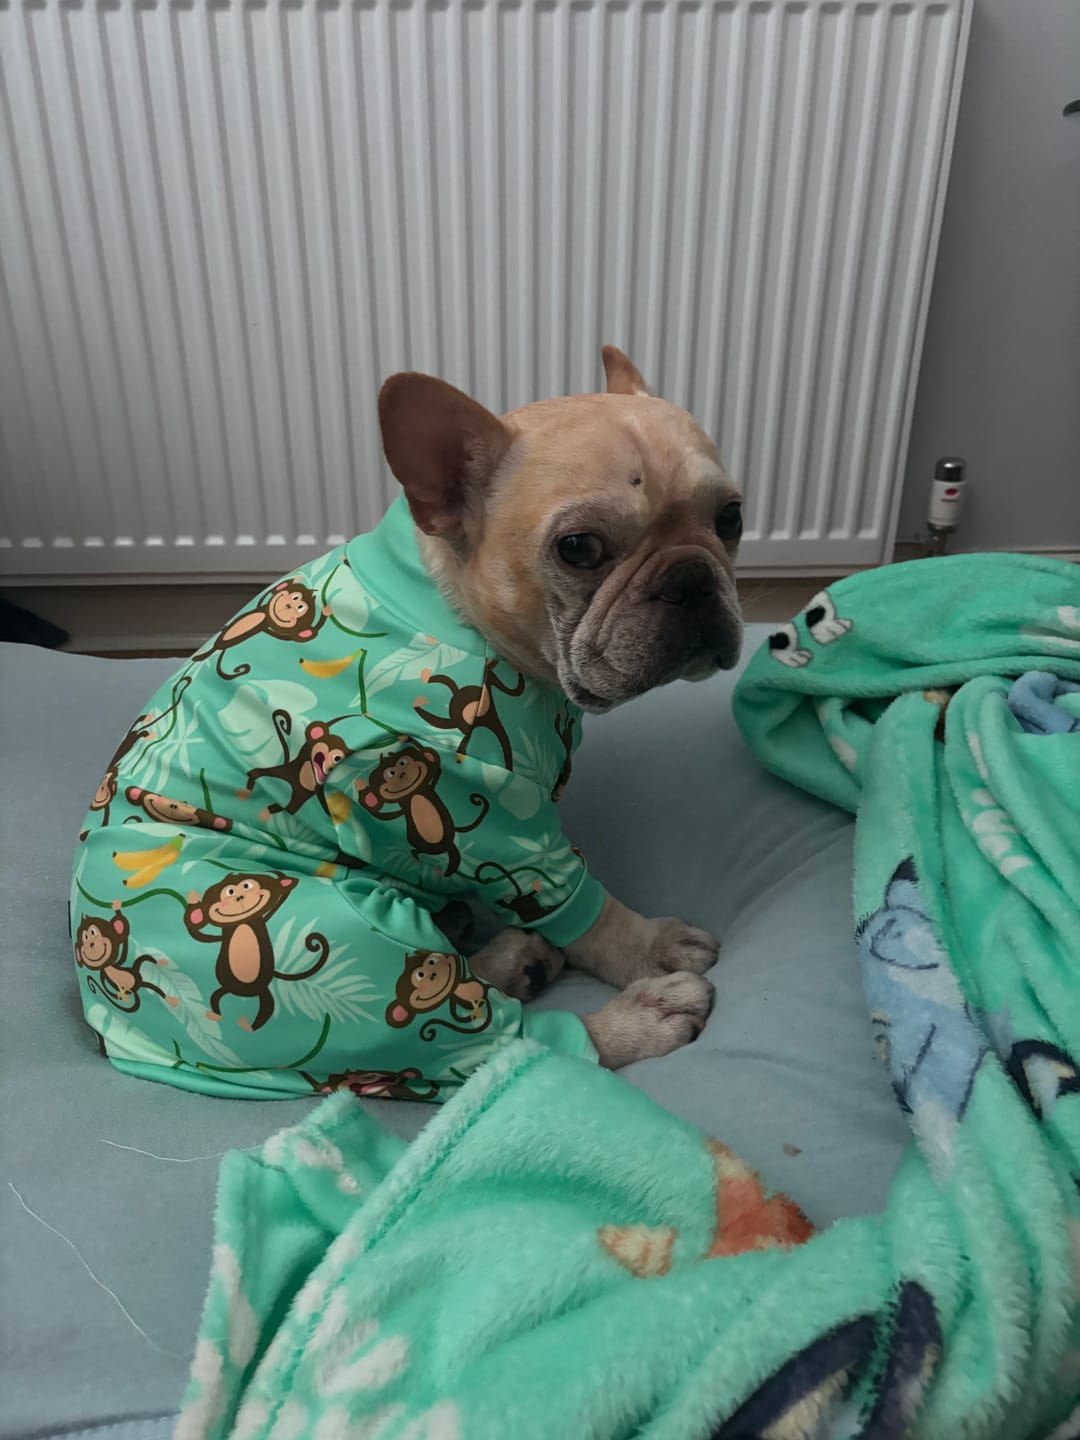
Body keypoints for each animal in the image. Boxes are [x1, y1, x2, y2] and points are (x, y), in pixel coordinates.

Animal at [183, 873, 329, 1031]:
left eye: (247, 885)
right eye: (230, 892)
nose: (239, 897)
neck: (243, 922)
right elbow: (197, 931)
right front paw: (193, 900)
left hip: (263, 991)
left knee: (266, 1007)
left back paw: (248, 1026)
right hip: (227, 987)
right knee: (216, 998)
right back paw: (215, 1015)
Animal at [356, 744, 489, 877]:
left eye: (402, 763)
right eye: (391, 773)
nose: (401, 774)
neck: (413, 793)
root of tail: (447, 845)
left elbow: (437, 771)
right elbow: (383, 815)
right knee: (417, 851)